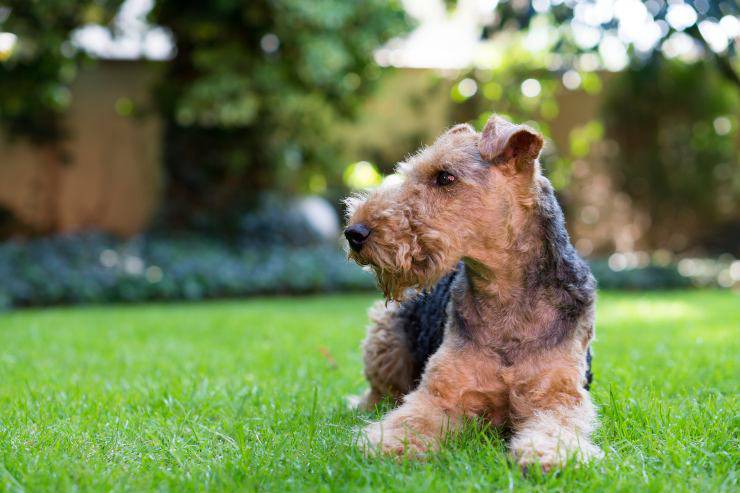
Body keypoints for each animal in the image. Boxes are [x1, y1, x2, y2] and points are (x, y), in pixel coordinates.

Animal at [344, 113, 604, 470]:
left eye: (445, 176)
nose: (353, 232)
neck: (505, 299)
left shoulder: (557, 395)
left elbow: (557, 425)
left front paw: (549, 454)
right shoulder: (440, 394)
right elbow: (411, 418)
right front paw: (388, 443)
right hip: (384, 339)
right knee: (377, 394)